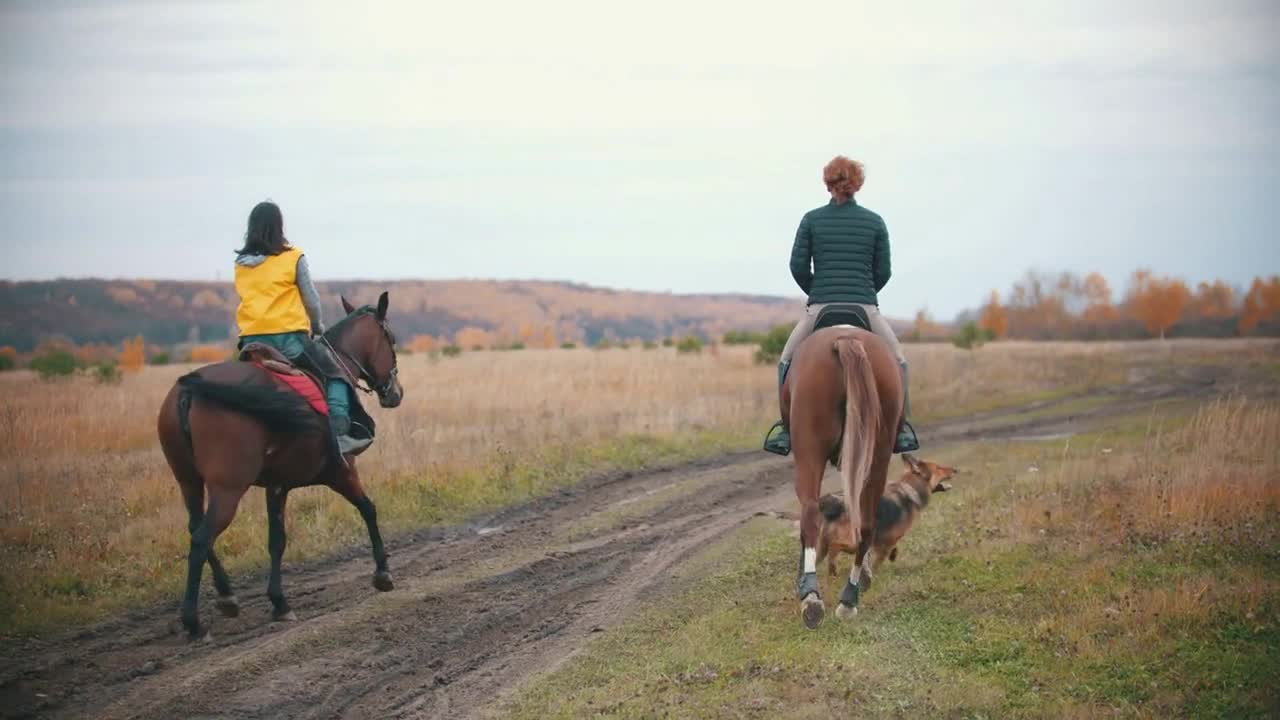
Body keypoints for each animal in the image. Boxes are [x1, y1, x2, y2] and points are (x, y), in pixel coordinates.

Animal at [156, 288, 401, 635]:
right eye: (390, 339)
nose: (395, 392)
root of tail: (187, 392)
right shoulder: (340, 471)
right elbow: (368, 508)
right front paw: (382, 573)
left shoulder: (277, 484)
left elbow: (276, 540)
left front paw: (279, 602)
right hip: (228, 487)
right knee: (202, 537)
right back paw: (193, 621)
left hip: (187, 480)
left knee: (195, 528)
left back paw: (227, 596)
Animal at [778, 322, 901, 625]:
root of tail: (845, 338)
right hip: (877, 452)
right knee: (866, 522)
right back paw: (849, 599)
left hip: (809, 450)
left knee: (811, 512)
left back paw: (811, 598)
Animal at [819, 453, 962, 584]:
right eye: (939, 468)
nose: (956, 470)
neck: (911, 488)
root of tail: (834, 504)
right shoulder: (887, 539)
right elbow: (881, 557)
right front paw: (875, 574)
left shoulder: (883, 538)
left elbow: (889, 550)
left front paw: (891, 556)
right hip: (851, 542)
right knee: (834, 547)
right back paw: (833, 569)